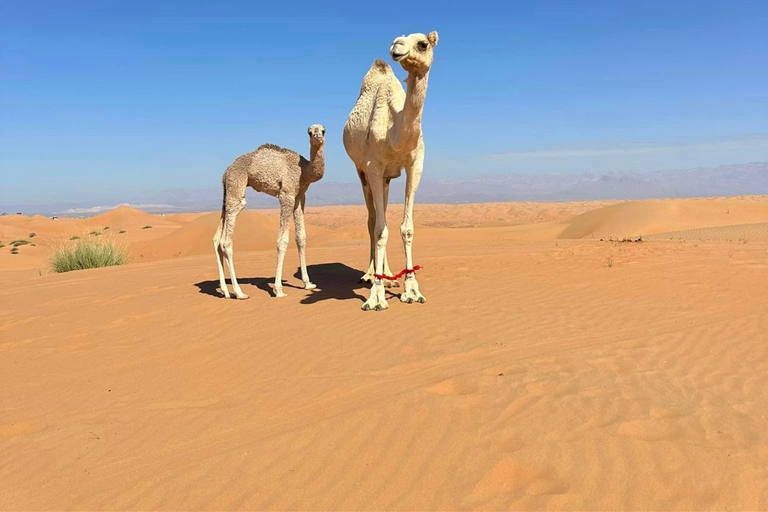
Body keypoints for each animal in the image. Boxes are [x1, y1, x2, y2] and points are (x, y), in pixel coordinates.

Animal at [213, 124, 328, 298]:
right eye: (309, 132)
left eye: (323, 130)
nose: (317, 136)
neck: (304, 169)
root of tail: (226, 172)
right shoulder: (286, 195)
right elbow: (282, 241)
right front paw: (278, 289)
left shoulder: (300, 196)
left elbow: (301, 238)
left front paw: (308, 283)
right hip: (237, 187)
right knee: (226, 241)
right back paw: (239, 292)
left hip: (228, 192)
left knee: (217, 238)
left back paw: (225, 291)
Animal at [342, 33, 438, 312]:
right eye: (401, 38)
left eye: (423, 44)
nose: (397, 46)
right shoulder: (373, 166)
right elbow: (379, 229)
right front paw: (376, 296)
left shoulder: (415, 165)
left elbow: (406, 228)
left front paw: (412, 291)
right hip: (362, 172)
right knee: (373, 220)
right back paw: (370, 275)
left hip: (386, 179)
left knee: (380, 215)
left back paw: (388, 276)